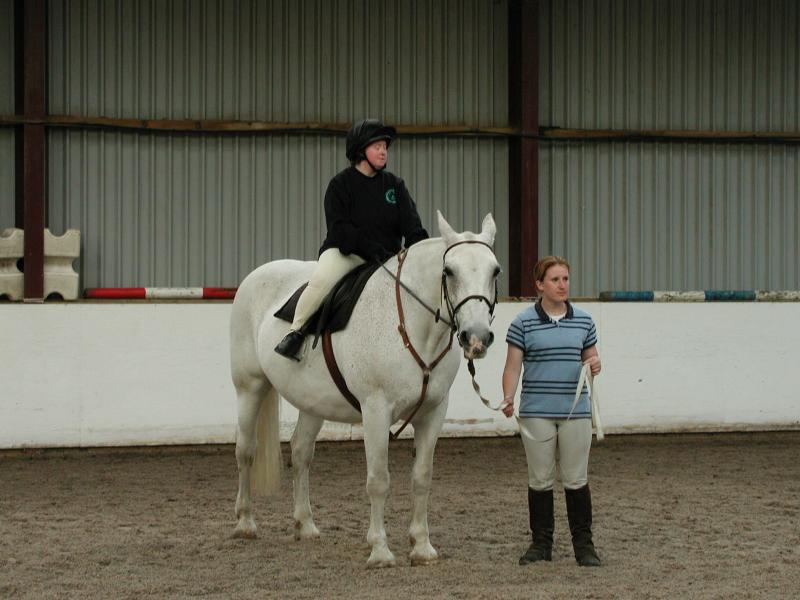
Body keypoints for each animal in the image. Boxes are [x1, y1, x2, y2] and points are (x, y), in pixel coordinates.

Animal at [228, 211, 496, 568]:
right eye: (448, 271)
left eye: (495, 270)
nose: (476, 337)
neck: (411, 325)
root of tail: (257, 275)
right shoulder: (376, 410)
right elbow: (378, 480)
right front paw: (380, 550)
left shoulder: (433, 412)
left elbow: (422, 477)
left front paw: (422, 546)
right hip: (250, 387)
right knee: (246, 450)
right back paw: (245, 523)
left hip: (313, 402)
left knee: (300, 452)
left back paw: (305, 525)